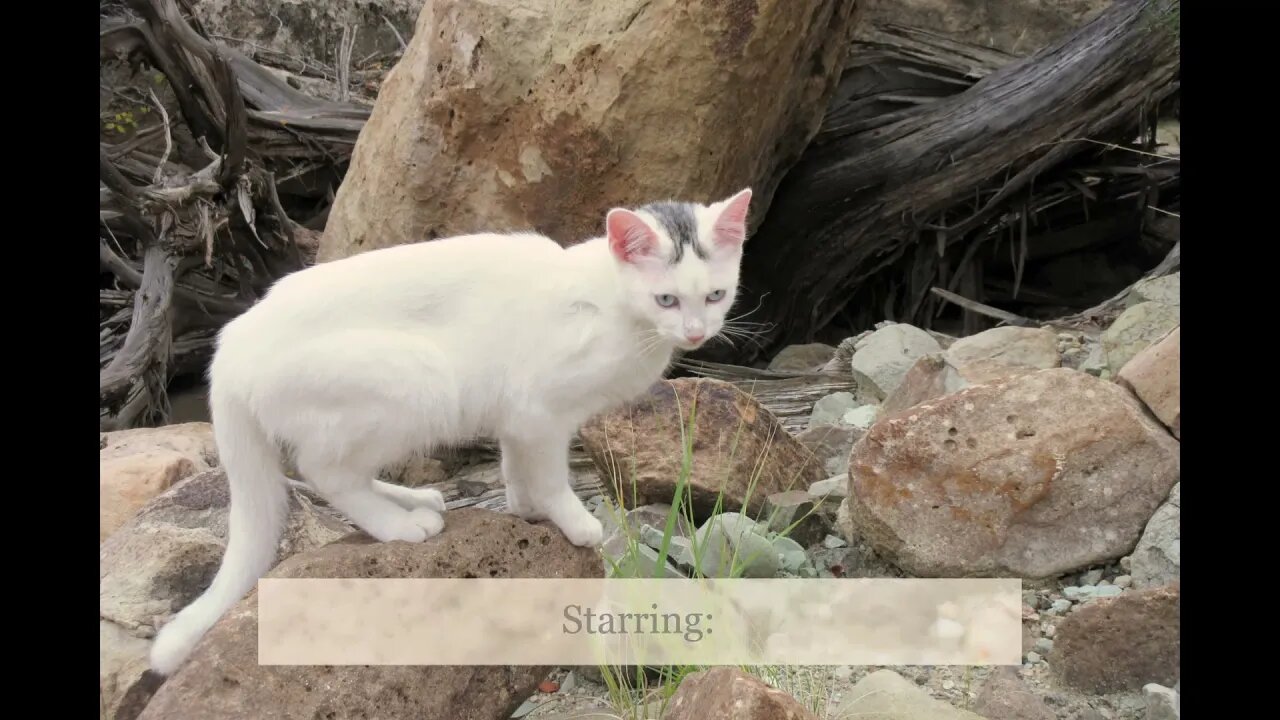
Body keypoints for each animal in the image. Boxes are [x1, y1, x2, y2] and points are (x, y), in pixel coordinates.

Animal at [146, 184, 752, 671]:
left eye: (715, 295)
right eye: (666, 299)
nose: (696, 332)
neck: (619, 312)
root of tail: (231, 343)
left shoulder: (518, 417)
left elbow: (515, 464)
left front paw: (525, 508)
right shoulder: (540, 411)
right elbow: (551, 475)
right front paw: (574, 522)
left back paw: (412, 499)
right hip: (422, 380)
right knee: (324, 471)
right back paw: (398, 525)